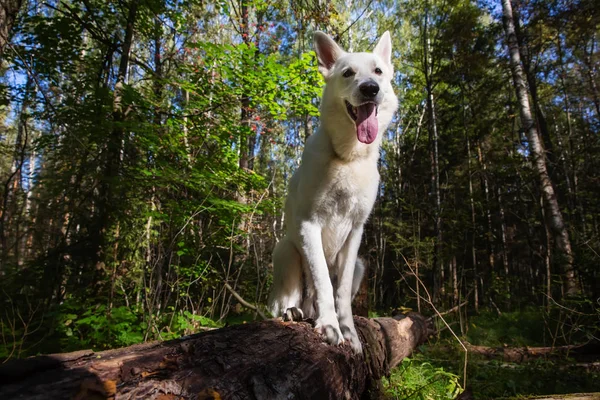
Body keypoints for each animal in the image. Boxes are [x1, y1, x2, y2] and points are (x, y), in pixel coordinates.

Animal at [270, 31, 396, 352]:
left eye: (378, 71)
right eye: (348, 73)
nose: (370, 88)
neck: (348, 158)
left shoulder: (355, 232)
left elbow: (340, 293)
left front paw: (348, 331)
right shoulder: (309, 225)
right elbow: (324, 283)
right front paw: (329, 326)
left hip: (361, 265)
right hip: (286, 250)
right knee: (286, 302)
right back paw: (293, 311)